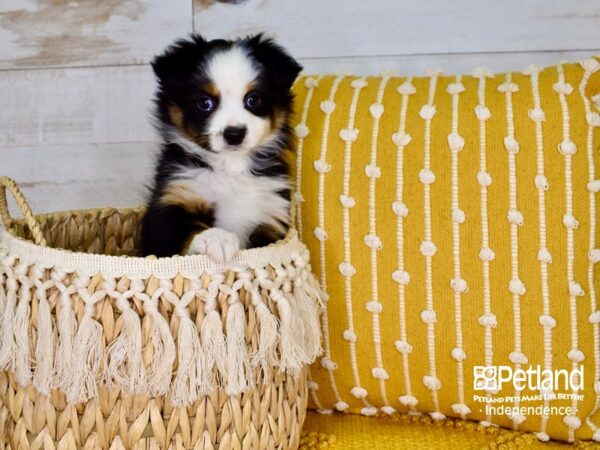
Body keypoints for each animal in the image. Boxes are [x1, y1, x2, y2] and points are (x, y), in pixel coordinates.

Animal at [139, 34, 300, 260]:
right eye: (205, 103)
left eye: (253, 100)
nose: (234, 134)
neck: (230, 168)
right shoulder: (171, 204)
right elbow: (188, 228)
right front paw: (217, 239)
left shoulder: (271, 216)